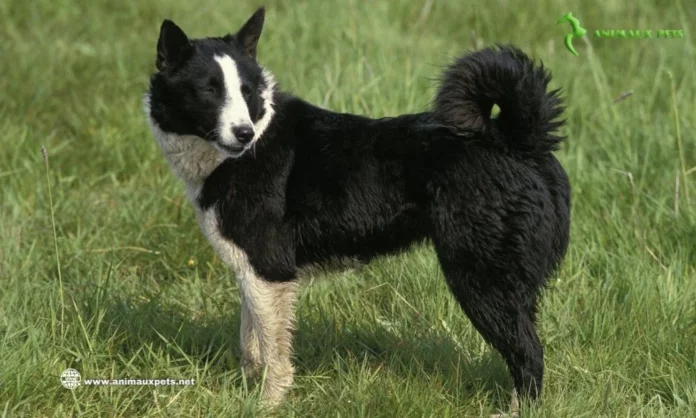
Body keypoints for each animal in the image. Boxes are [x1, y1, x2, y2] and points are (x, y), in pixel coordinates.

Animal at [143, 5, 572, 412]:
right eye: (210, 91)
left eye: (247, 92)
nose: (244, 134)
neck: (252, 142)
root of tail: (517, 139)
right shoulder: (251, 273)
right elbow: (252, 346)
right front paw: (248, 392)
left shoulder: (270, 269)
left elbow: (273, 354)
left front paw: (266, 405)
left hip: (482, 278)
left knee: (528, 354)